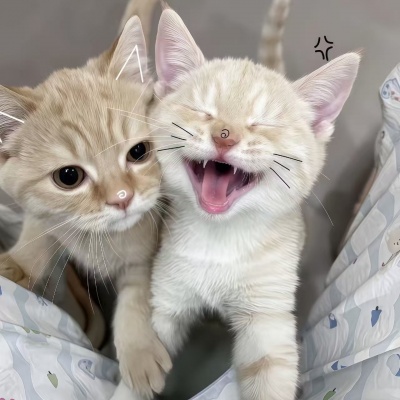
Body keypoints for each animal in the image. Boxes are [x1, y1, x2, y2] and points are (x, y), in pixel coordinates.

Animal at [0, 13, 171, 398]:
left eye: (139, 152)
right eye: (69, 176)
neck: (100, 240)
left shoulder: (145, 255)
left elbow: (135, 297)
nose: (122, 198)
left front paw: (138, 353)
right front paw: (14, 265)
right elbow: (36, 235)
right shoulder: (43, 218)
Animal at [114, 2, 361, 400]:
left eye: (263, 123)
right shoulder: (166, 300)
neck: (219, 241)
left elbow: (271, 373)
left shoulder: (268, 320)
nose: (224, 135)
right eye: (204, 111)